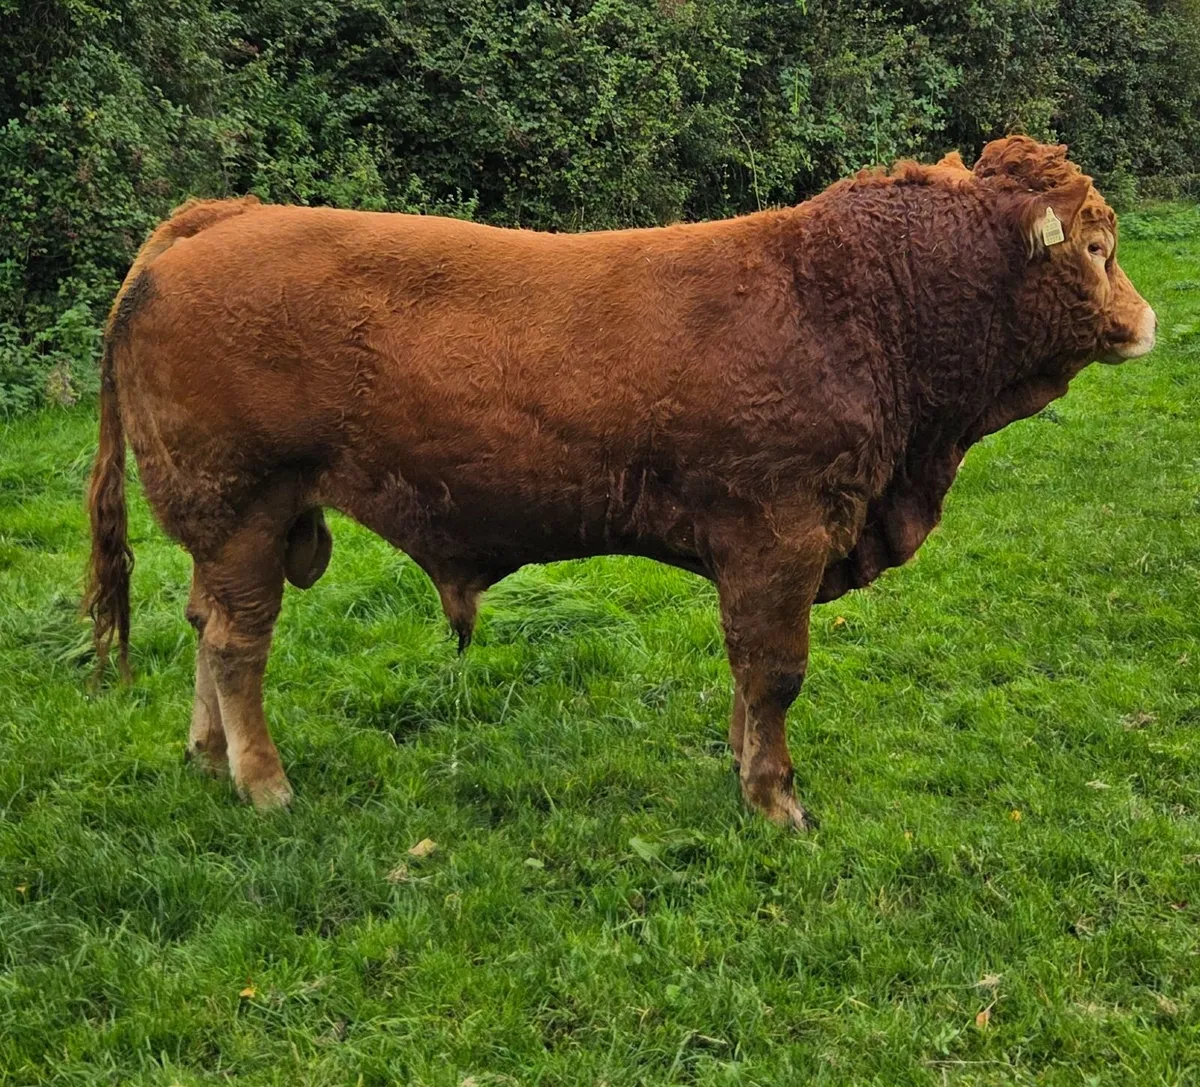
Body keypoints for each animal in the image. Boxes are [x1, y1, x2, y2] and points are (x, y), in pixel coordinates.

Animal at [85, 136, 1156, 829]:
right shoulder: (780, 537)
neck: (853, 301)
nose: (1147, 321)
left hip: (236, 525)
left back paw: (209, 758)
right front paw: (777, 800)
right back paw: (264, 784)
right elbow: (777, 669)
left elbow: (747, 673)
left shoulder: (765, 554)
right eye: (1097, 246)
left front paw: (743, 766)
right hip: (242, 506)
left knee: (204, 626)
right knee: (237, 644)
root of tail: (219, 217)